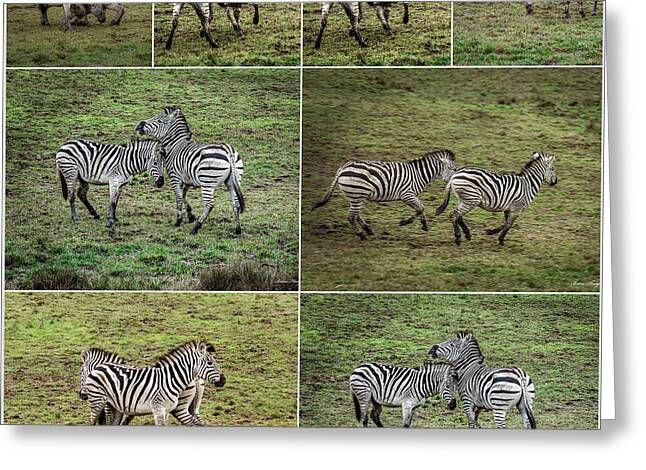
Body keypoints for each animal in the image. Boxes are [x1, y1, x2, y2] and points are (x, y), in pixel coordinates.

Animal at [84, 340, 225, 426]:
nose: (223, 380)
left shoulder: (165, 410)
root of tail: (100, 366)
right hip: (99, 401)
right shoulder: (158, 409)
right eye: (210, 363)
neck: (171, 379)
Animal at [135, 107, 245, 235]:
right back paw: (237, 229)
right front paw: (190, 215)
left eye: (160, 121)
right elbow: (183, 196)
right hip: (232, 181)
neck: (174, 145)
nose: (139, 125)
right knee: (236, 203)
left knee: (209, 204)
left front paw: (179, 221)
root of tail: (229, 151)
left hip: (207, 181)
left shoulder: (175, 178)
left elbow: (178, 198)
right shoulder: (187, 180)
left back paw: (196, 227)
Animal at [312, 149, 456, 239]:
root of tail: (344, 167)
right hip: (357, 194)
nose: (455, 179)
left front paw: (423, 224)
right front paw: (406, 222)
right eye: (453, 169)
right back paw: (362, 235)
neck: (418, 174)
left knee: (356, 215)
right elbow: (421, 207)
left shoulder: (408, 196)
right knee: (351, 217)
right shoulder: (407, 194)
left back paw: (368, 230)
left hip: (355, 196)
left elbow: (420, 208)